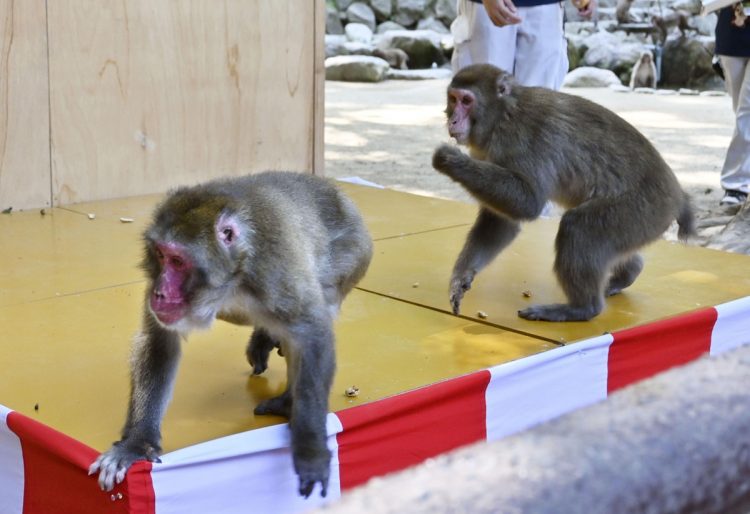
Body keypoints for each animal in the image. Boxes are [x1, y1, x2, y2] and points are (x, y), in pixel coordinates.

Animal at [89, 172, 374, 496]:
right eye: (160, 255)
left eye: (178, 261)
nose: (159, 293)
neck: (231, 280)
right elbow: (160, 342)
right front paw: (136, 445)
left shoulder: (274, 268)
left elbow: (312, 333)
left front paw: (311, 448)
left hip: (352, 253)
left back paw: (289, 400)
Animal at [434, 64, 700, 320]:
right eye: (453, 98)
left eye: (466, 101)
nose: (453, 121)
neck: (503, 115)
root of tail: (678, 197)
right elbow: (502, 222)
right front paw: (461, 277)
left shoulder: (523, 138)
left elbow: (529, 202)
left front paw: (449, 160)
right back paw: (629, 272)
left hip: (644, 210)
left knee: (579, 226)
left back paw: (582, 309)